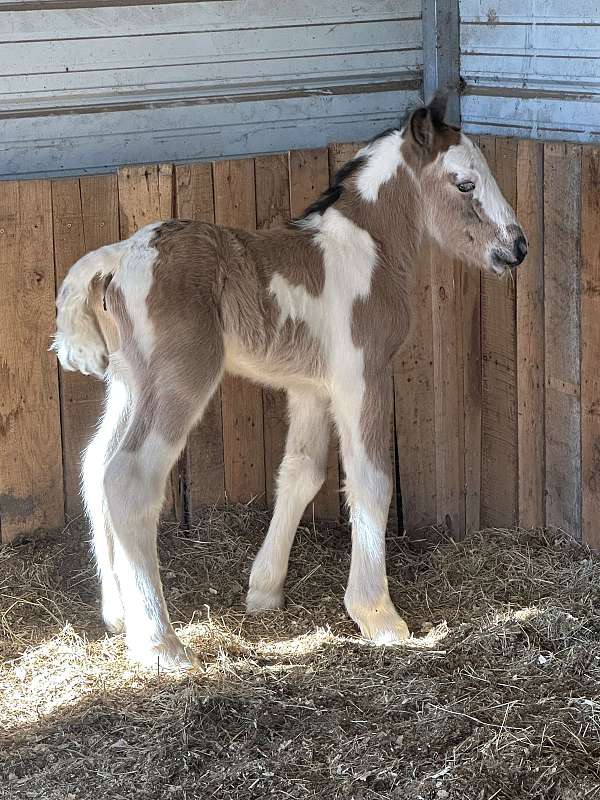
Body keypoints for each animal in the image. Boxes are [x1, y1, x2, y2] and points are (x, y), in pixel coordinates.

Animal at [54, 95, 528, 668]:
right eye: (465, 184)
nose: (518, 247)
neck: (365, 251)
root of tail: (118, 255)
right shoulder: (361, 375)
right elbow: (371, 480)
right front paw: (378, 616)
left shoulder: (310, 388)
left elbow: (301, 473)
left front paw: (264, 590)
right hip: (178, 379)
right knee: (129, 478)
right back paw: (162, 646)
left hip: (129, 383)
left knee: (94, 464)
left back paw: (118, 614)